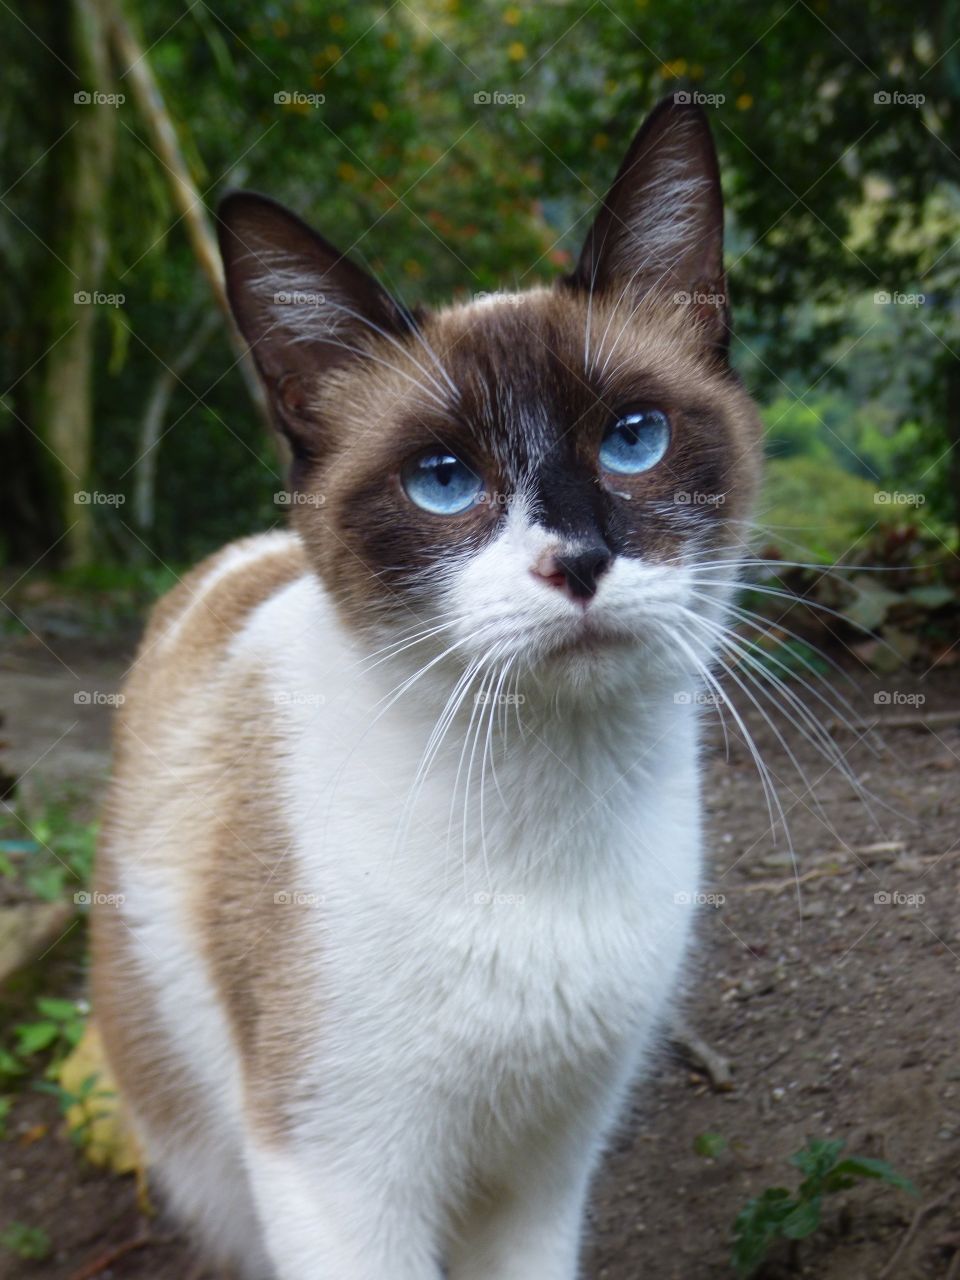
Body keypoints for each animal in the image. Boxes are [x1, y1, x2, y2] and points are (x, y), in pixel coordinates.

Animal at [92, 99, 768, 1280]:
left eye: (633, 439)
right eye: (444, 480)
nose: (579, 559)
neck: (548, 808)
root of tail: (232, 556)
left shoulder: (548, 1173)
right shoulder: (342, 1181)